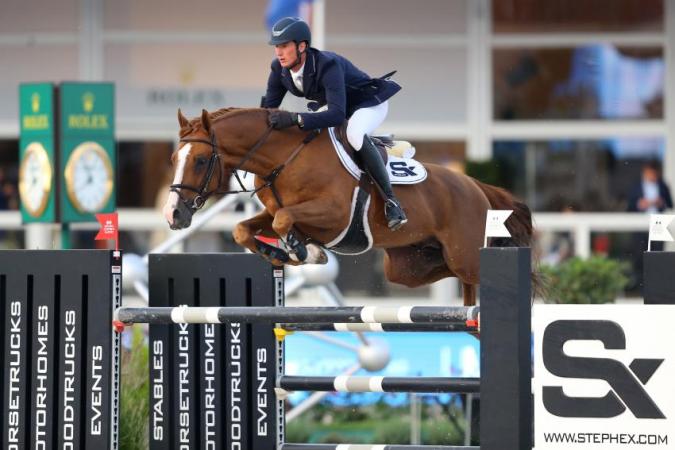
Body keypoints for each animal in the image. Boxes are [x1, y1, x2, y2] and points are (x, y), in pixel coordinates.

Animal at [162, 107, 533, 306]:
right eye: (173, 159)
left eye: (199, 160)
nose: (173, 215)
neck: (283, 159)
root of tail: (476, 186)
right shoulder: (272, 212)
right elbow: (245, 229)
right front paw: (283, 253)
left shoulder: (335, 215)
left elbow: (284, 219)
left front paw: (306, 252)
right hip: (406, 266)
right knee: (448, 273)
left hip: (464, 254)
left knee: (478, 274)